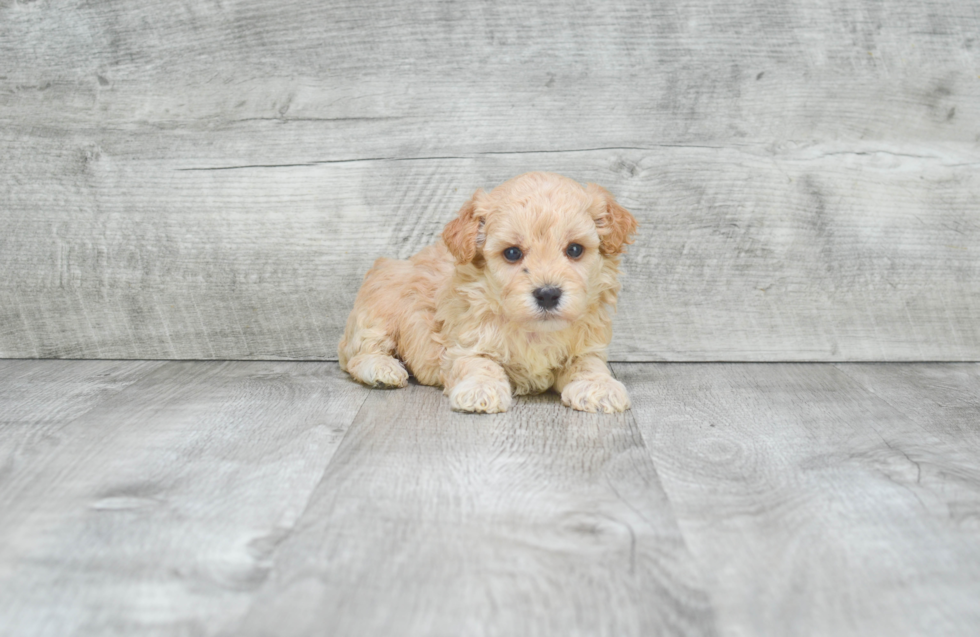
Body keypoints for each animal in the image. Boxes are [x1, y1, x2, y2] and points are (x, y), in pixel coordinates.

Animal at [340, 171, 640, 414]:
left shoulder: (587, 346)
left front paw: (599, 387)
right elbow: (479, 364)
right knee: (358, 354)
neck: (534, 330)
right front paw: (481, 389)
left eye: (575, 249)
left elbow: (589, 365)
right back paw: (383, 370)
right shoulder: (464, 344)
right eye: (512, 253)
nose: (547, 294)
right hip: (380, 310)